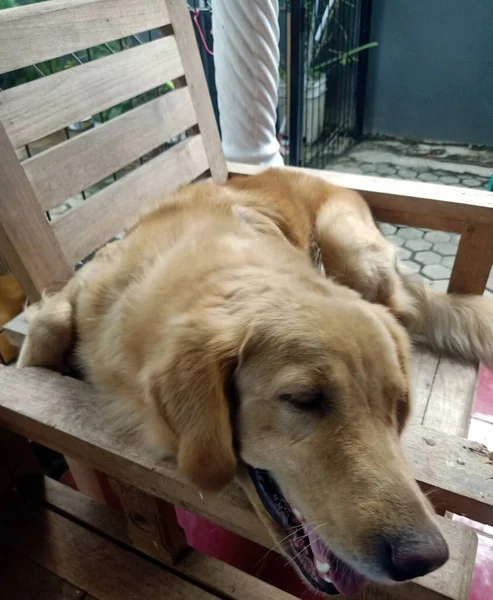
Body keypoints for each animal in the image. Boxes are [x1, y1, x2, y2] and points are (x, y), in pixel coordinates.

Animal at [16, 168, 492, 596]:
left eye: (397, 407)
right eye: (303, 399)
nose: (426, 557)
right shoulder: (76, 294)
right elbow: (45, 330)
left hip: (349, 242)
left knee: (400, 308)